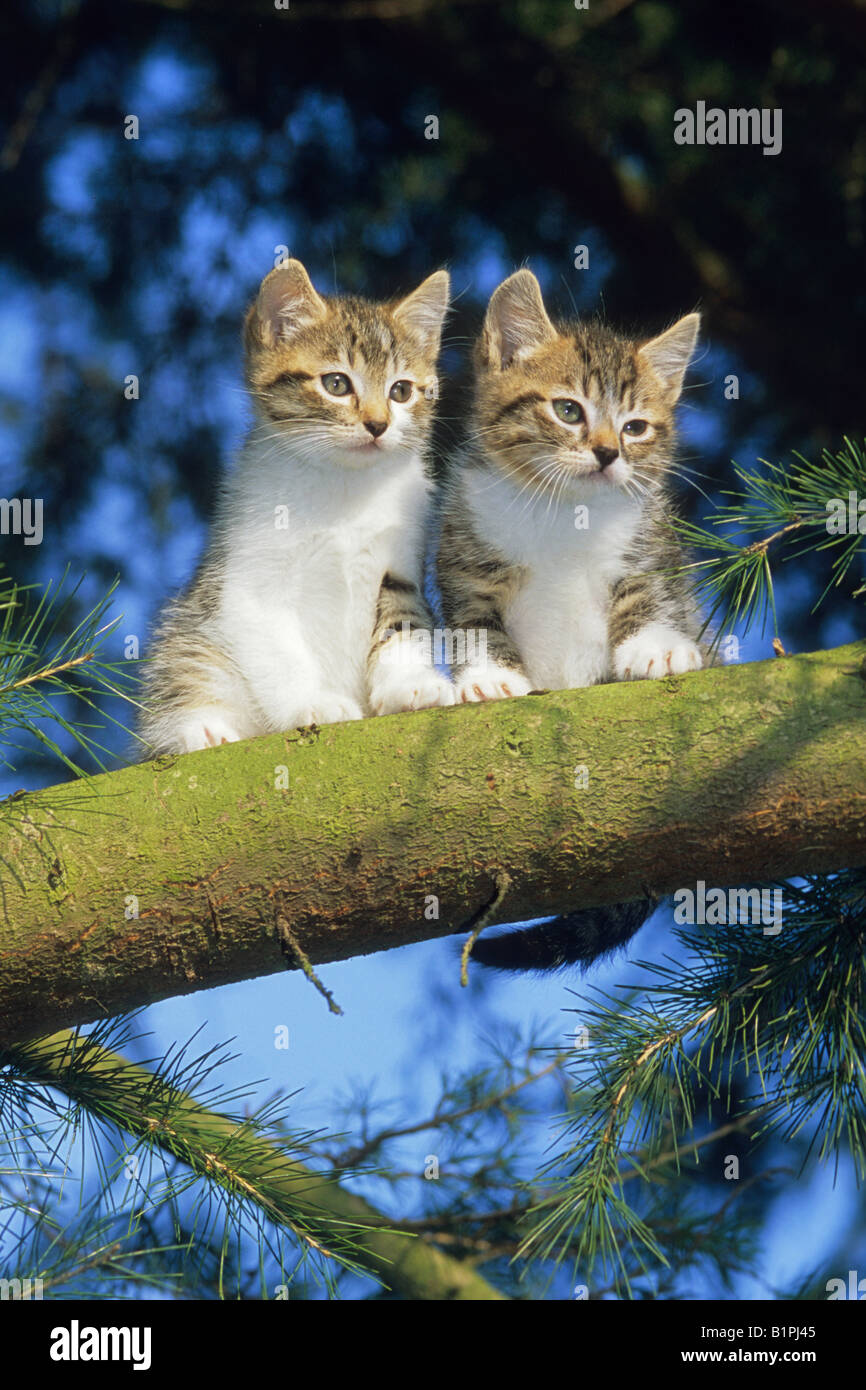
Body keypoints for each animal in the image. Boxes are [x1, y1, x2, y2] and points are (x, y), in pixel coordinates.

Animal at [136, 255, 453, 756]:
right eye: (336, 383)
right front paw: (313, 703)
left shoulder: (401, 565)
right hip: (189, 635)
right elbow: (276, 648)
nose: (378, 424)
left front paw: (410, 685)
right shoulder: (247, 582)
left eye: (401, 391)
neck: (344, 487)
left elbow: (404, 623)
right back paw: (200, 729)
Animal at [436, 268, 708, 967]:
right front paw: (490, 677)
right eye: (568, 411)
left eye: (636, 427)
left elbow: (649, 593)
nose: (609, 453)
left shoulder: (651, 540)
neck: (565, 511)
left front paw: (655, 647)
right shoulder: (463, 550)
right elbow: (473, 620)